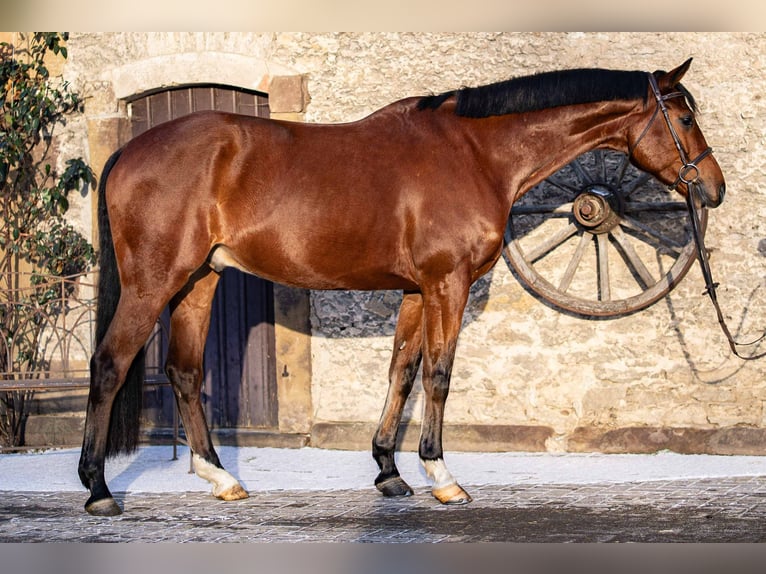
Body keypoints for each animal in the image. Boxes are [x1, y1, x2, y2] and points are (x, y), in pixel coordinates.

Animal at [78, 58, 725, 516]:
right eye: (685, 118)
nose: (714, 189)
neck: (475, 154)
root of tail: (129, 149)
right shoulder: (448, 284)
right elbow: (438, 374)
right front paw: (442, 477)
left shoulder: (418, 290)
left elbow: (402, 372)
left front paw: (389, 472)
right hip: (153, 283)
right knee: (109, 364)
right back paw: (99, 489)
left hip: (199, 279)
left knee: (185, 371)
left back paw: (221, 478)